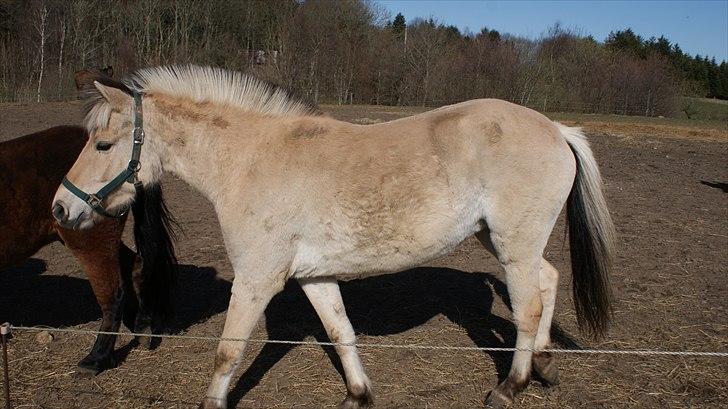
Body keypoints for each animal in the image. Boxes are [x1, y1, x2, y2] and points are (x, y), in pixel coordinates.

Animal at [1, 69, 178, 372]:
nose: (60, 207)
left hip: (90, 240)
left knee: (112, 294)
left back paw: (97, 357)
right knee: (135, 265)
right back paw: (140, 325)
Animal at [54, 65, 616, 406]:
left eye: (103, 144)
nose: (60, 208)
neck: (252, 160)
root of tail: (556, 129)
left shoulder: (256, 279)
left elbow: (228, 350)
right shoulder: (313, 277)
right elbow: (340, 331)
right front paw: (358, 394)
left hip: (513, 244)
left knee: (527, 309)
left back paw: (512, 385)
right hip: (500, 240)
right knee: (549, 280)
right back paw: (545, 366)